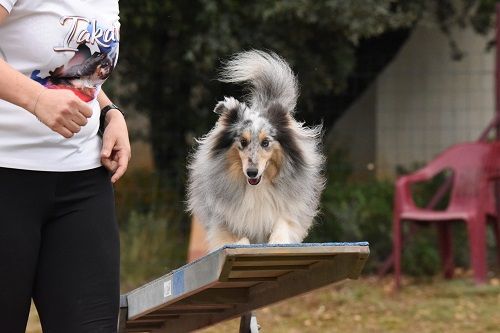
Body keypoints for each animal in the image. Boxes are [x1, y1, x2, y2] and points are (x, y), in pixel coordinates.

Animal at [187, 50, 324, 250]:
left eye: (266, 142)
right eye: (243, 142)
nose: (252, 172)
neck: (257, 187)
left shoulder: (287, 207)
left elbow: (283, 224)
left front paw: (278, 241)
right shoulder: (222, 219)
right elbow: (234, 236)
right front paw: (241, 242)